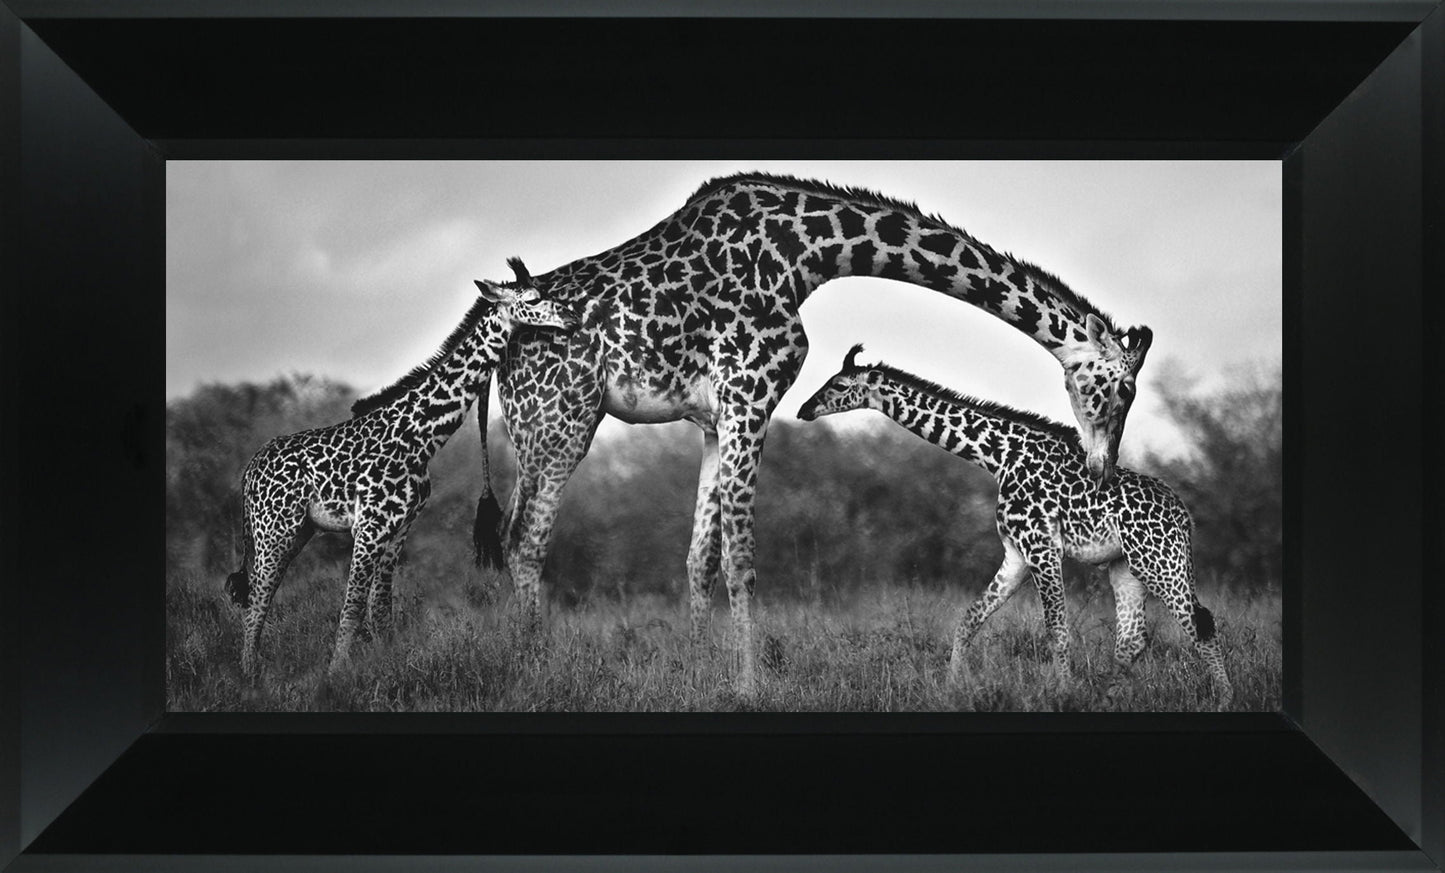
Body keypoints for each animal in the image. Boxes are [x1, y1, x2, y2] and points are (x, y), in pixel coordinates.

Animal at [225, 259, 578, 681]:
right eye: (534, 299)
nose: (573, 317)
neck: (419, 437)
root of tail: (249, 470)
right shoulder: (369, 527)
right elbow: (352, 607)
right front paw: (335, 677)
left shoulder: (399, 528)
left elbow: (381, 611)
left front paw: (384, 669)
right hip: (275, 529)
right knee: (256, 599)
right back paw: (249, 675)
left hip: (297, 531)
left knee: (259, 595)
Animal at [474, 173, 1153, 693]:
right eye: (1121, 389)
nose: (1101, 469)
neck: (809, 252)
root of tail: (500, 344)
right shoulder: (751, 392)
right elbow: (743, 556)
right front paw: (751, 686)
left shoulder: (716, 417)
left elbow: (700, 556)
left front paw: (699, 672)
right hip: (563, 419)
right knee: (525, 540)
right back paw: (531, 669)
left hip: (538, 427)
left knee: (512, 535)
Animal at [797, 345, 1232, 709]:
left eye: (839, 385)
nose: (803, 410)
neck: (999, 457)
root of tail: (1183, 515)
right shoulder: (1016, 554)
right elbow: (968, 619)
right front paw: (954, 687)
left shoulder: (1042, 547)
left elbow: (1056, 629)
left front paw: (1063, 693)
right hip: (1125, 567)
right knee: (1132, 639)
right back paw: (1105, 699)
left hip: (1157, 561)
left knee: (1200, 622)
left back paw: (1225, 697)